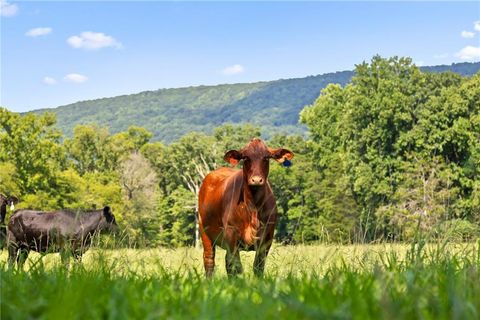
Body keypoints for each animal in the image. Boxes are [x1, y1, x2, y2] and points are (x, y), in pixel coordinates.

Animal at [198, 139, 292, 276]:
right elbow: (237, 267)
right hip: (205, 232)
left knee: (227, 262)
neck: (253, 208)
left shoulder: (267, 238)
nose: (256, 180)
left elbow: (258, 267)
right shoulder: (231, 234)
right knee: (210, 261)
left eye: (266, 157)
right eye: (246, 157)